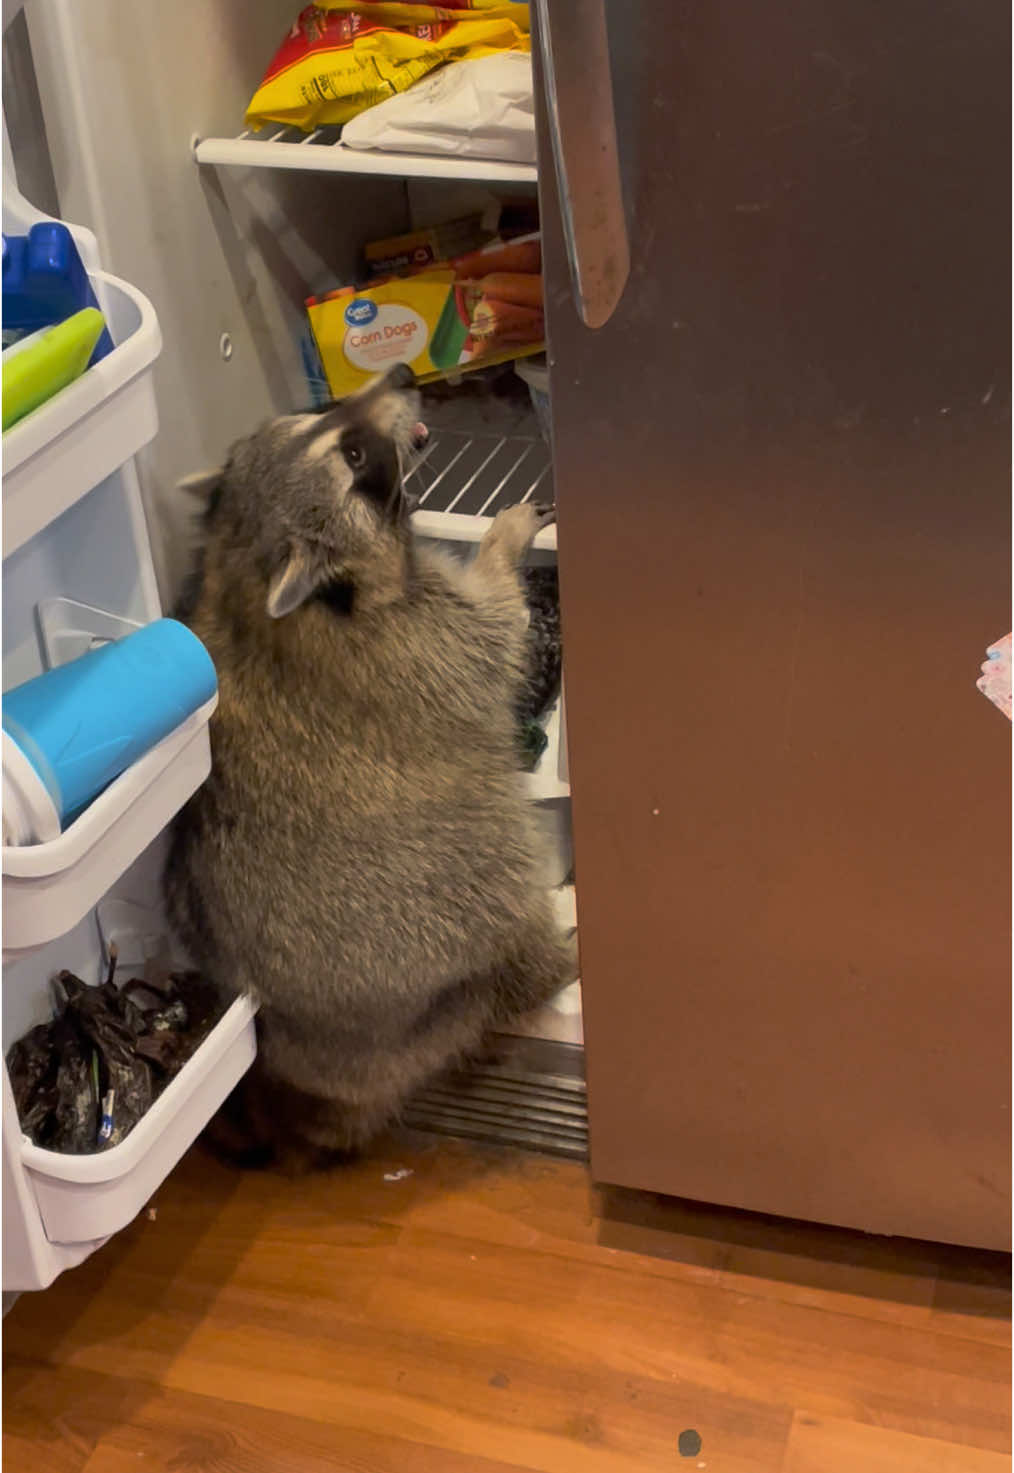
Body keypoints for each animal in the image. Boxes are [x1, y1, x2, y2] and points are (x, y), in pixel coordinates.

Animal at [165, 366, 575, 1168]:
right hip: (440, 928)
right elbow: (498, 627)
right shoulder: (422, 640)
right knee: (501, 888)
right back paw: (555, 956)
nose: (402, 374)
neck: (242, 565)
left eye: (320, 413)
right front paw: (503, 543)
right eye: (354, 457)